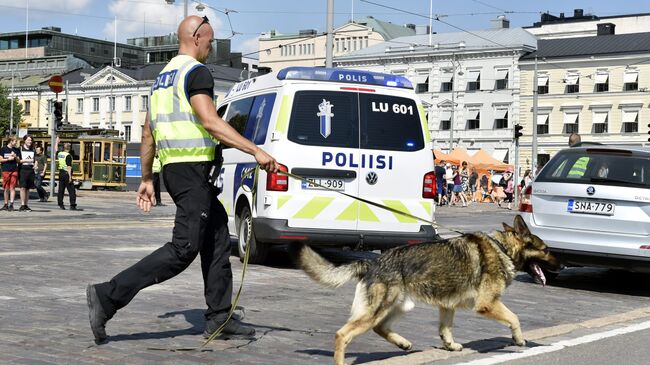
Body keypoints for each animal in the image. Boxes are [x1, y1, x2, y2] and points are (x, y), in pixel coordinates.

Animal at [288, 215, 556, 362]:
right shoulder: (487, 305)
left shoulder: (447, 306)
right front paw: (519, 339)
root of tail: (372, 262)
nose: (562, 265)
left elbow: (445, 330)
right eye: (546, 250)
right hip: (379, 310)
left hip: (399, 307)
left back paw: (403, 344)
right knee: (342, 334)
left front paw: (451, 346)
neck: (502, 248)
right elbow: (515, 318)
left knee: (379, 328)